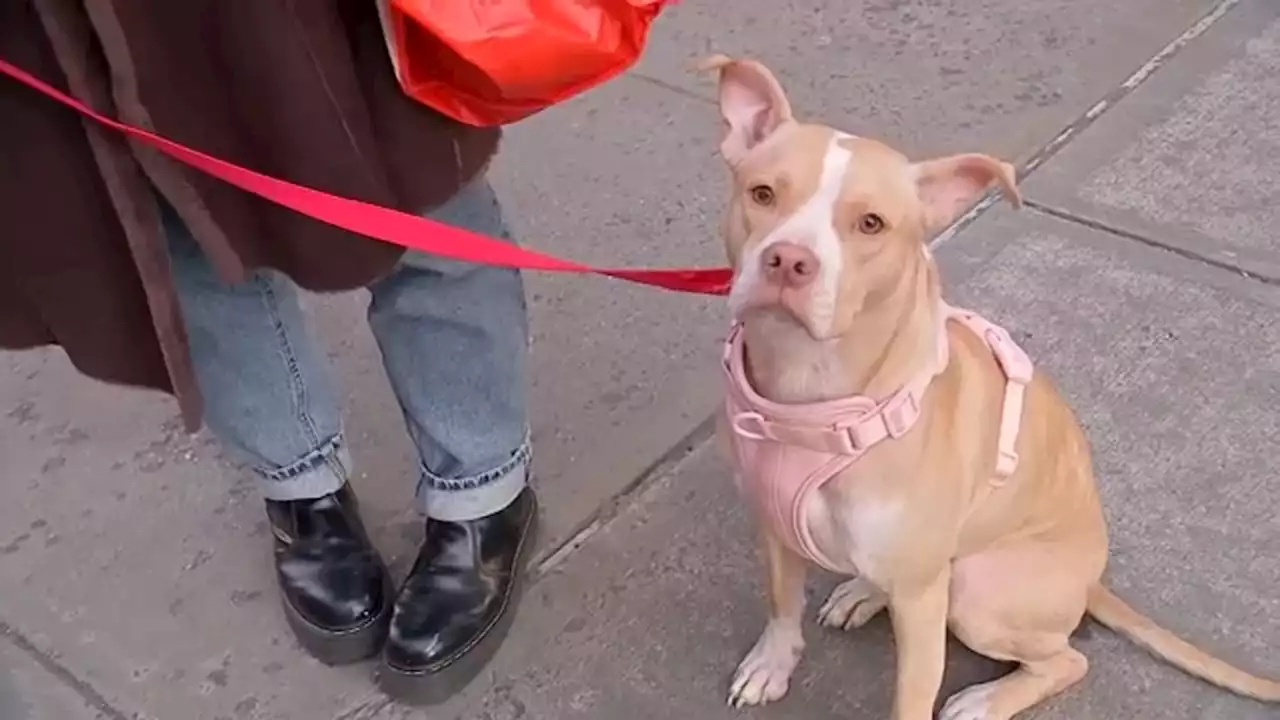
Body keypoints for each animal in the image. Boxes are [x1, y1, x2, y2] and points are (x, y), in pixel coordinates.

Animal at [706, 56, 1274, 717]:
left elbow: (911, 698)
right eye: (762, 194)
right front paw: (772, 663)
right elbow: (781, 605)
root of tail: (1090, 581)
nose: (789, 261)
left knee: (1067, 659)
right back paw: (863, 591)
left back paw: (985, 699)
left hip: (974, 588)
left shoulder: (924, 604)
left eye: (871, 224)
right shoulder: (772, 526)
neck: (809, 390)